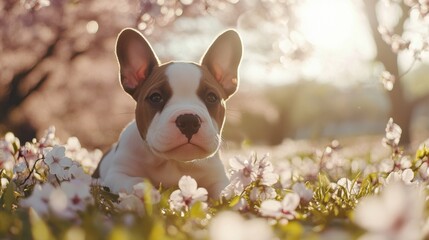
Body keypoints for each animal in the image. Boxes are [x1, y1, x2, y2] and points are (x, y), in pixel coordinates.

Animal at [92, 27, 242, 199]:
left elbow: (226, 192)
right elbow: (135, 181)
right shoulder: (119, 174)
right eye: (156, 97)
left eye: (211, 97)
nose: (189, 120)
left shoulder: (218, 177)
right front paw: (150, 193)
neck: (174, 162)